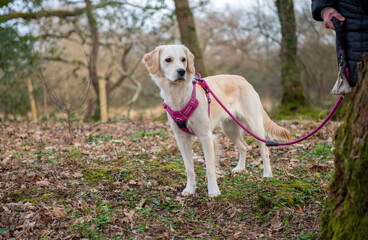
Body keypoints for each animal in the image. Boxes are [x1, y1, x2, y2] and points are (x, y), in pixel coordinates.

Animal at [142, 45, 292, 197]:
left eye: (183, 59)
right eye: (168, 60)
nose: (181, 71)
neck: (178, 94)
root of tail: (243, 79)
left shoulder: (206, 137)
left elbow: (210, 168)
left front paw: (213, 190)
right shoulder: (181, 138)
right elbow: (189, 169)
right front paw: (190, 189)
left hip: (254, 125)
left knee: (264, 150)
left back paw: (267, 174)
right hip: (229, 129)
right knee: (244, 146)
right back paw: (240, 168)